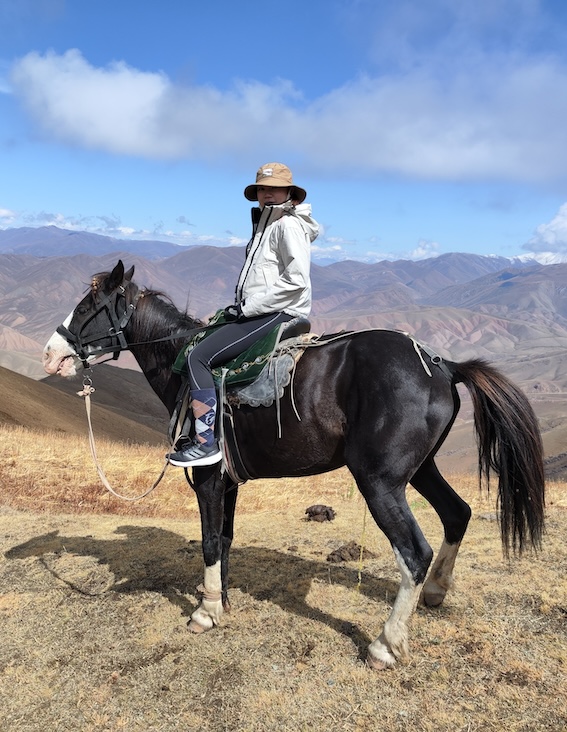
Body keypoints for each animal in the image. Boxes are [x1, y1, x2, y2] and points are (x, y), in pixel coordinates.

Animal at [42, 264, 548, 668]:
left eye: (90, 306)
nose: (51, 355)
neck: (182, 365)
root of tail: (442, 365)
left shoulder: (206, 478)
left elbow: (208, 540)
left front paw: (205, 612)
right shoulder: (228, 482)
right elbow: (225, 539)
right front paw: (221, 599)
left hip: (381, 482)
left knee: (414, 553)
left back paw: (385, 645)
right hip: (421, 471)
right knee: (457, 513)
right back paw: (436, 593)